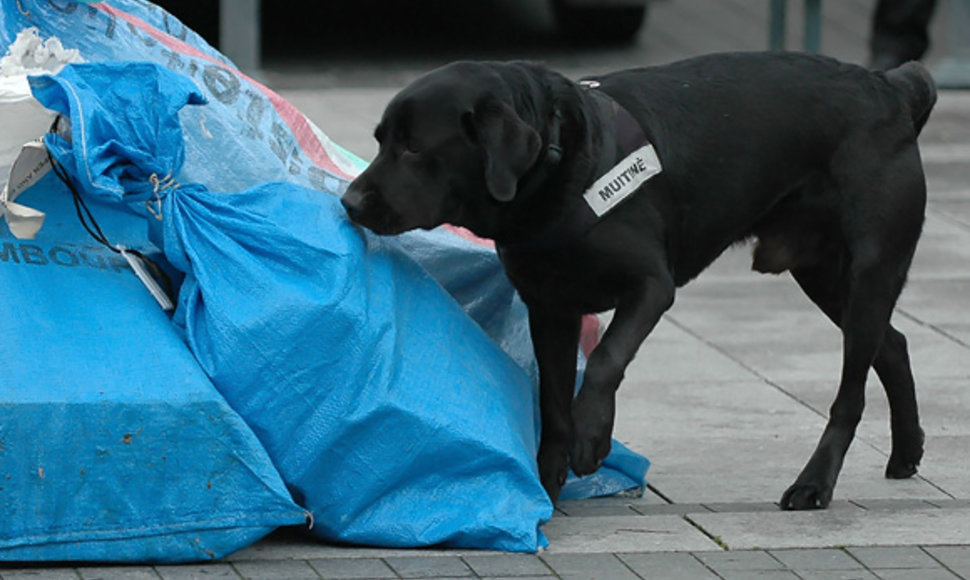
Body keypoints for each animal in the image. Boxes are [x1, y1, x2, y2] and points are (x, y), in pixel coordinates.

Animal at [342, 52, 936, 510]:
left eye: (413, 146)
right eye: (381, 139)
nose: (349, 201)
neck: (561, 166)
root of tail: (889, 87)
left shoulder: (650, 286)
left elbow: (606, 359)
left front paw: (591, 438)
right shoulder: (549, 308)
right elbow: (553, 401)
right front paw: (548, 479)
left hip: (869, 268)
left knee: (852, 392)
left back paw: (814, 483)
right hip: (823, 275)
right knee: (894, 345)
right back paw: (906, 452)